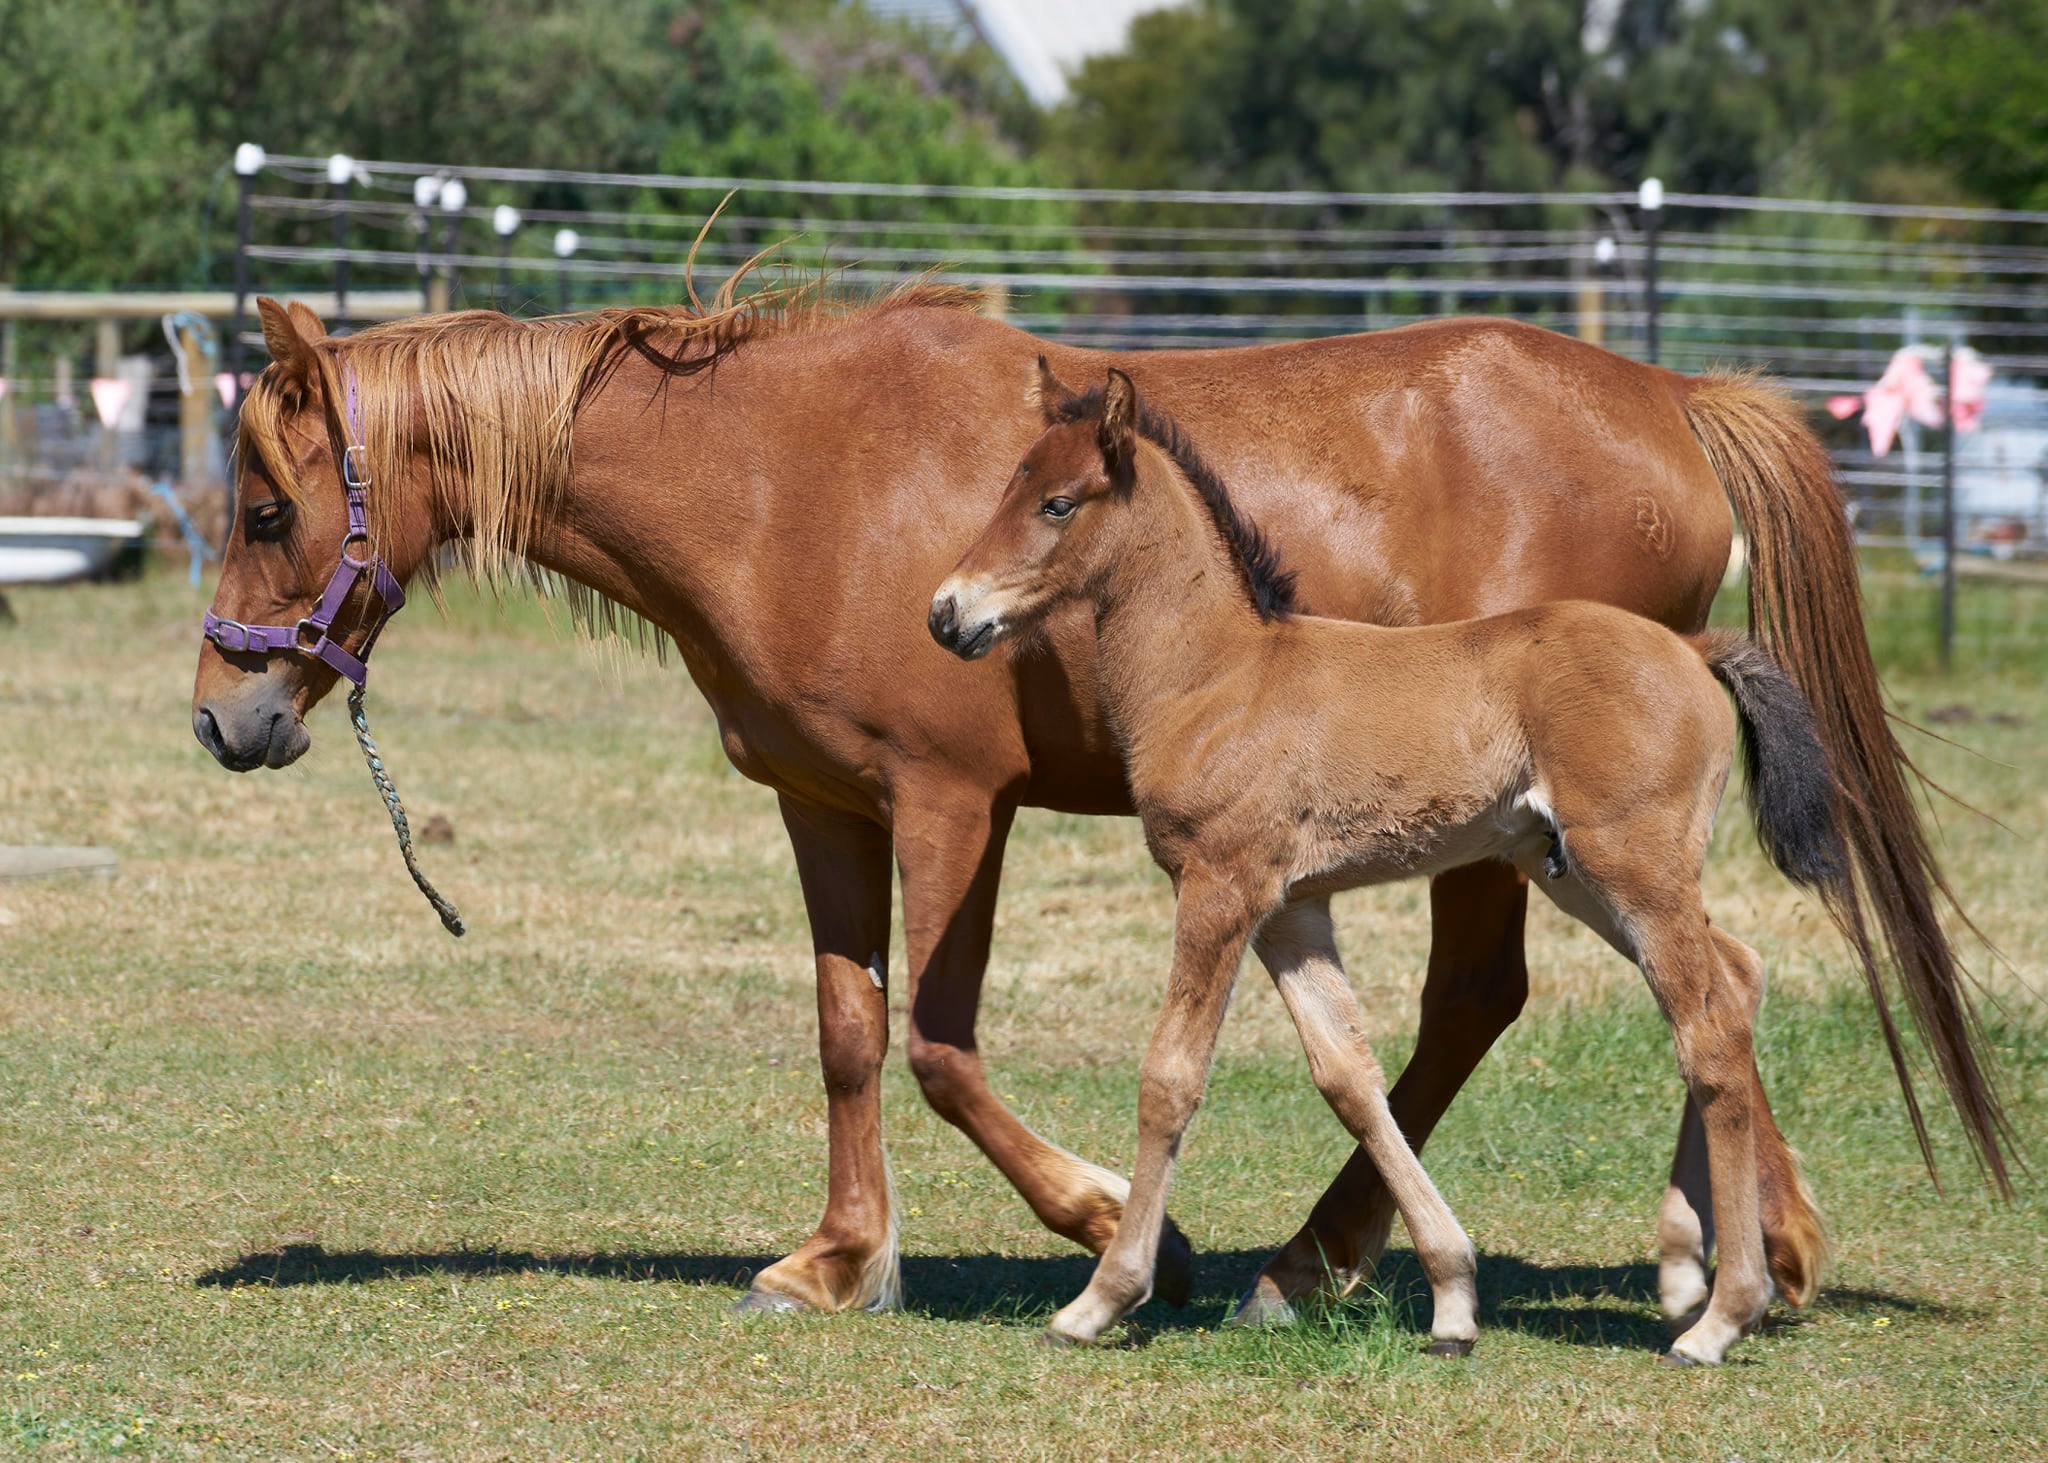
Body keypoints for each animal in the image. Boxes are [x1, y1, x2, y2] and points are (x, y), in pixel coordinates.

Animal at [942, 362, 1875, 1352]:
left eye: (1057, 502)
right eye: (1009, 485)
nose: (947, 613)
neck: (1220, 674)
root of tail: (1695, 651)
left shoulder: (1219, 885)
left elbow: (1171, 1076)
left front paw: (1101, 1297)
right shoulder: (1290, 908)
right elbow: (1349, 1077)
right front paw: (1451, 1295)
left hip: (1634, 867)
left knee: (1707, 1036)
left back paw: (1723, 1312)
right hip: (1581, 876)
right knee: (1734, 977)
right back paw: (1684, 1272)